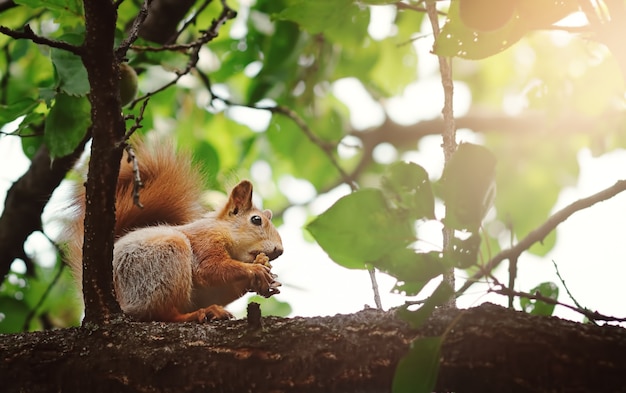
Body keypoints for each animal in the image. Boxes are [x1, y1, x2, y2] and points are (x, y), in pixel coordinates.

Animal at [66, 141, 282, 322]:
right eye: (256, 220)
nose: (279, 251)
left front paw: (264, 280)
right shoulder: (206, 239)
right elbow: (209, 268)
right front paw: (255, 269)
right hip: (161, 264)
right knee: (163, 313)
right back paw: (198, 314)